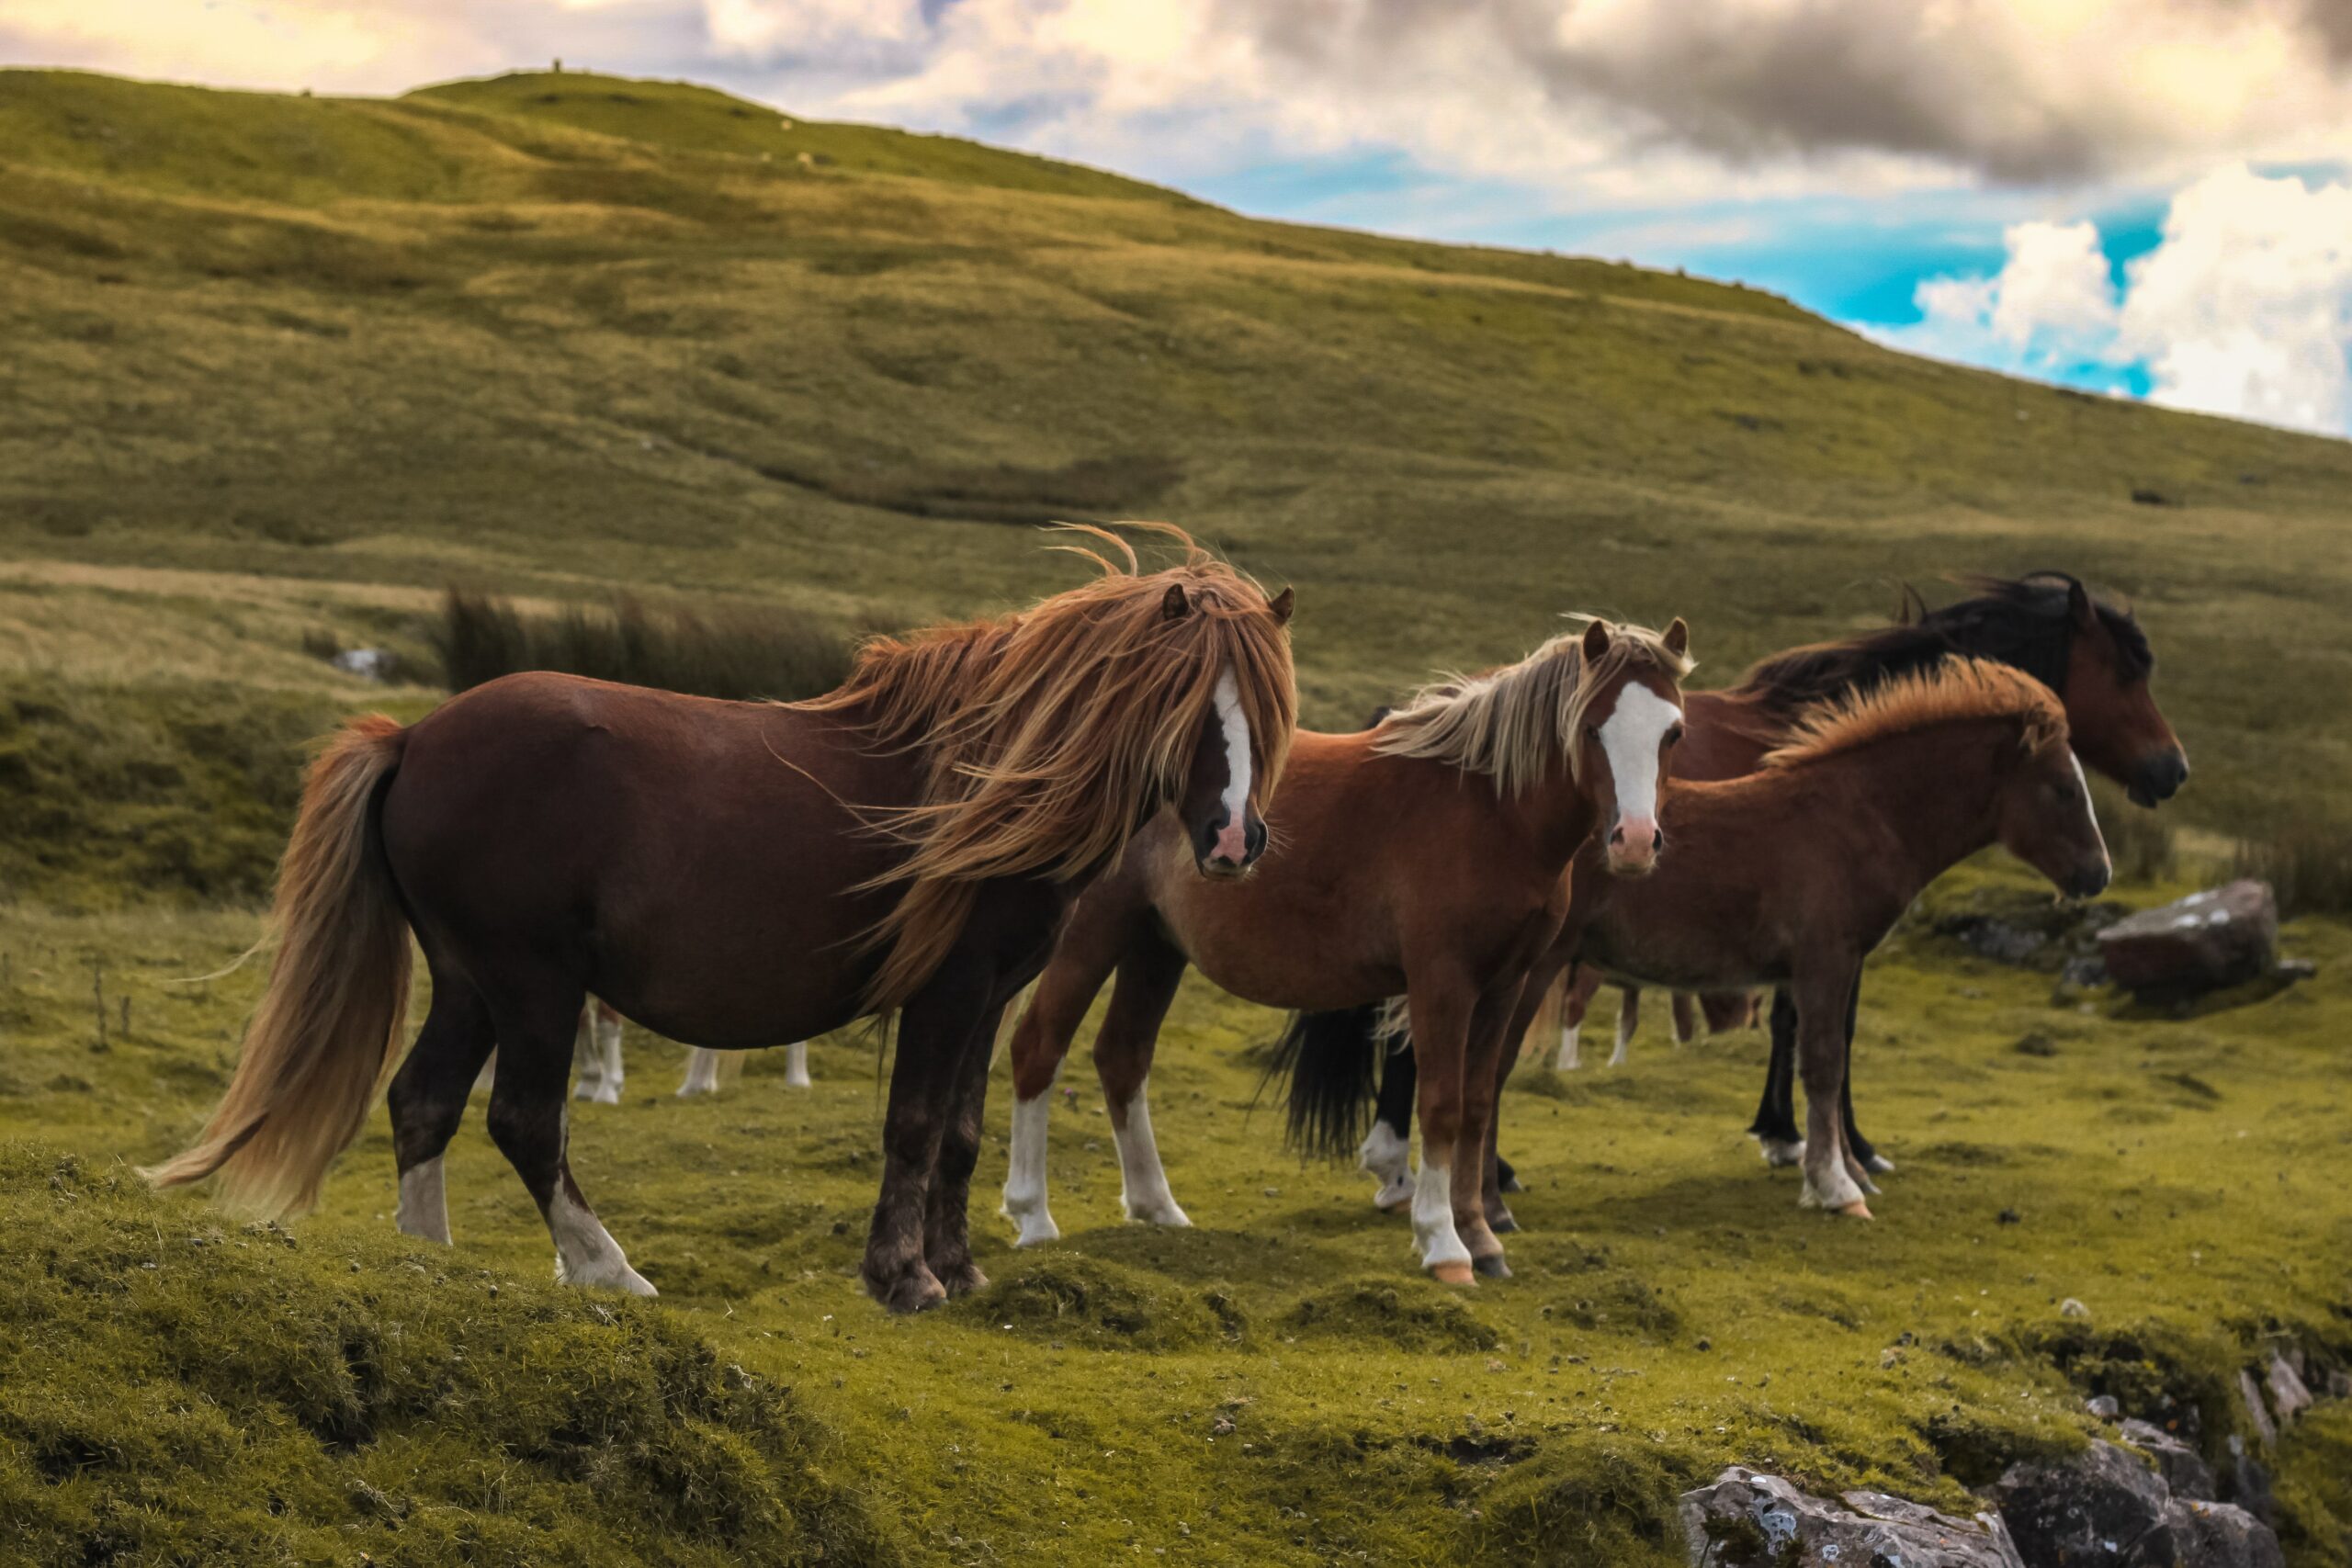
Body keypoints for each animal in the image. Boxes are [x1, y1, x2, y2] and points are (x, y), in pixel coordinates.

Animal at [992, 615, 1693, 1288]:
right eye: (1594, 728)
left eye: (1673, 733)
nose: (1635, 841)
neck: (1491, 812)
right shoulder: (1443, 982)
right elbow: (1440, 1105)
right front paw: (1444, 1244)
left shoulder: (1504, 984)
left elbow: (1475, 1105)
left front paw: (1480, 1235)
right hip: (1093, 933)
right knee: (1038, 1048)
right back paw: (1034, 1217)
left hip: (1153, 943)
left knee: (1123, 1056)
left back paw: (1158, 1208)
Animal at [1288, 658, 2117, 1222]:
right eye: (2063, 787)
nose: (2099, 873)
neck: (1856, 813)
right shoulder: (1824, 958)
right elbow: (1822, 1063)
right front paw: (1835, 1185)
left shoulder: (1832, 964)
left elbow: (1828, 1056)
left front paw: (1838, 1165)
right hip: (1529, 967)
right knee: (1479, 1070)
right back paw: (1476, 1198)